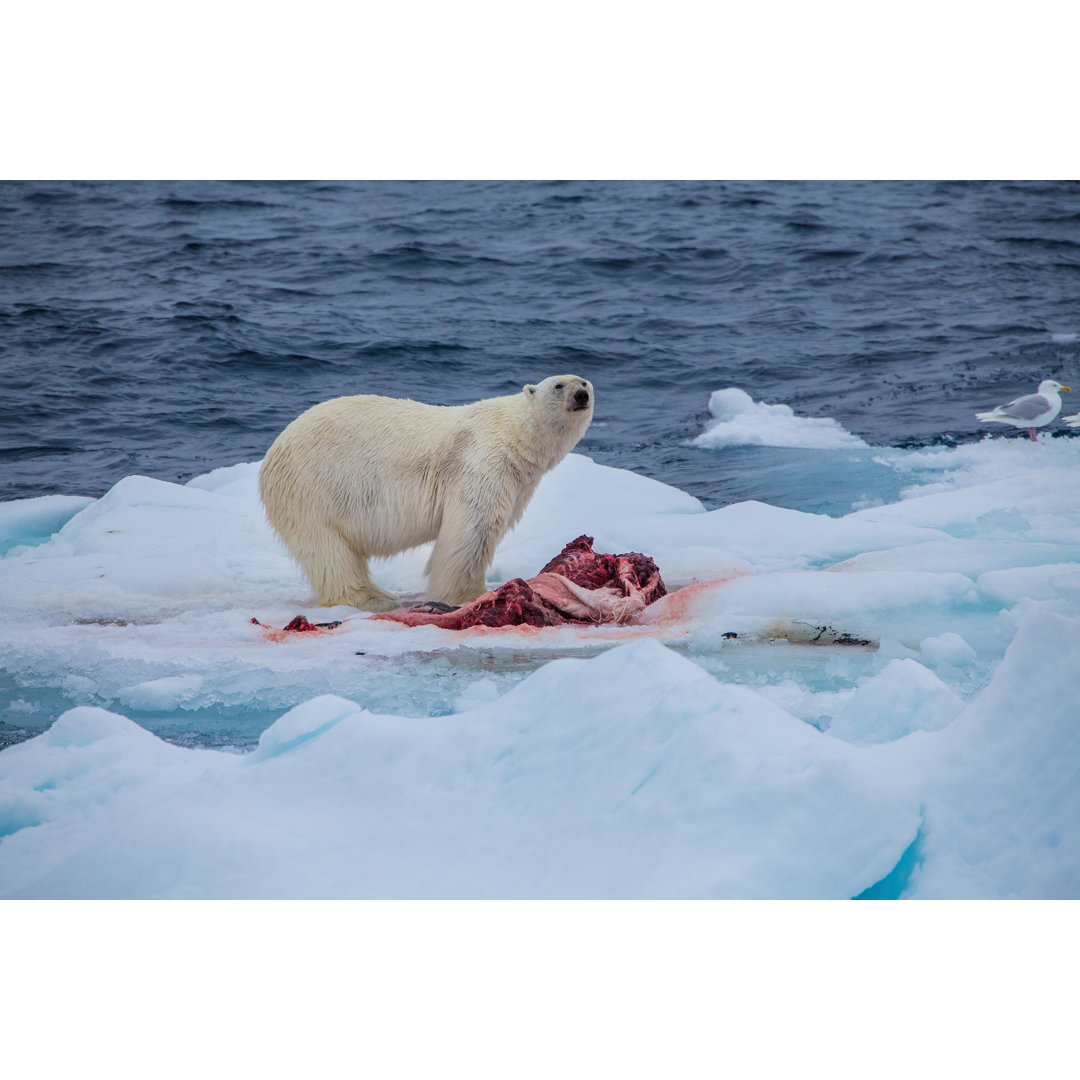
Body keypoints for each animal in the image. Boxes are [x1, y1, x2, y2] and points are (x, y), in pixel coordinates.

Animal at [262, 373, 600, 609]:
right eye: (558, 385)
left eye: (584, 382)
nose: (581, 395)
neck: (512, 434)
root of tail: (272, 454)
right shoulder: (481, 462)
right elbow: (472, 531)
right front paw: (471, 594)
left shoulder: (518, 482)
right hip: (312, 490)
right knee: (328, 550)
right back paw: (370, 597)